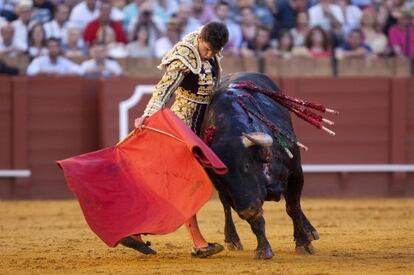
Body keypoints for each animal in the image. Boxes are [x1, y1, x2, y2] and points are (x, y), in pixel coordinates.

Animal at [201, 72, 320, 260]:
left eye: (246, 165)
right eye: (221, 177)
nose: (247, 209)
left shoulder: (296, 172)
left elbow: (293, 207)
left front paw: (304, 243)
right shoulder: (240, 196)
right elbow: (255, 219)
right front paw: (264, 249)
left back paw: (310, 231)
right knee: (226, 206)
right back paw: (232, 239)